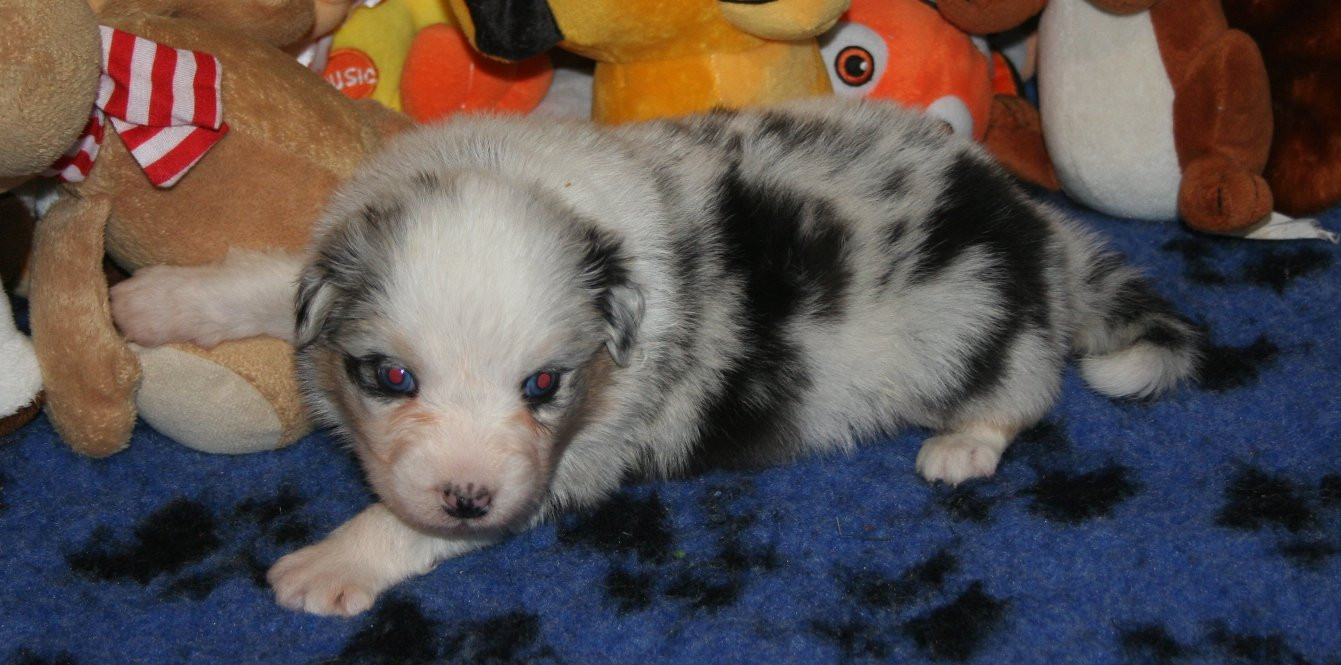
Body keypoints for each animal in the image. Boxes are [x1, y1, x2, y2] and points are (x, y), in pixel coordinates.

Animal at [110, 97, 1201, 616]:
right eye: (390, 375)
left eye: (543, 384)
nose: (466, 494)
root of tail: (1031, 222)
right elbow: (276, 276)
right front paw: (157, 300)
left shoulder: (567, 462)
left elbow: (405, 522)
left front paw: (331, 562)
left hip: (974, 332)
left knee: (1026, 387)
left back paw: (964, 446)